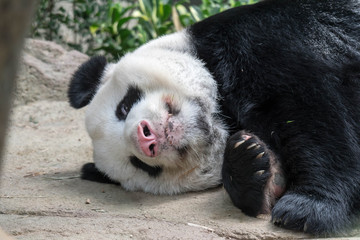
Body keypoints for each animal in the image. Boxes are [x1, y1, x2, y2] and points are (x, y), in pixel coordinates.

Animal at [67, 0, 360, 236]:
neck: (222, 113)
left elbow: (314, 114)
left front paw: (307, 208)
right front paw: (251, 167)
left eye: (124, 106)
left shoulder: (263, 39)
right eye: (141, 165)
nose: (145, 137)